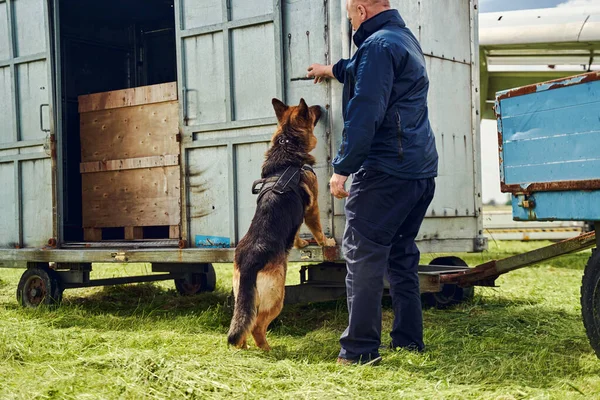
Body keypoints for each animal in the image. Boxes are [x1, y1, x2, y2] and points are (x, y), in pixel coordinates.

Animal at [227, 97, 336, 350]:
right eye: (311, 112)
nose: (320, 107)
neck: (287, 143)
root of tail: (249, 263)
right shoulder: (312, 209)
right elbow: (317, 229)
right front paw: (325, 242)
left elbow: (295, 234)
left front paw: (300, 244)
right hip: (277, 297)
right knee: (257, 326)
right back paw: (268, 349)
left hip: (242, 297)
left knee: (243, 324)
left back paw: (244, 348)